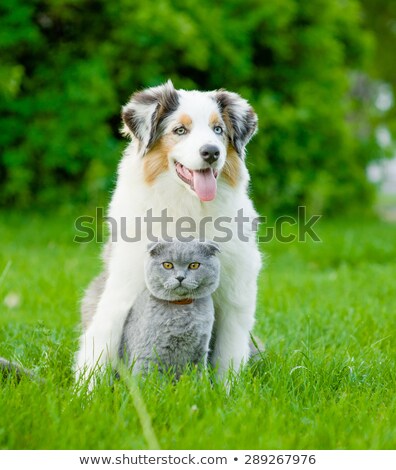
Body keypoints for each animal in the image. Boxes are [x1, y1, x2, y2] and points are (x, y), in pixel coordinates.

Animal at [119, 241, 221, 376]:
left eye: (194, 265)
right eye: (167, 265)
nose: (180, 277)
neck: (181, 308)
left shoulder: (200, 350)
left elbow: (198, 375)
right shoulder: (148, 352)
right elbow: (147, 376)